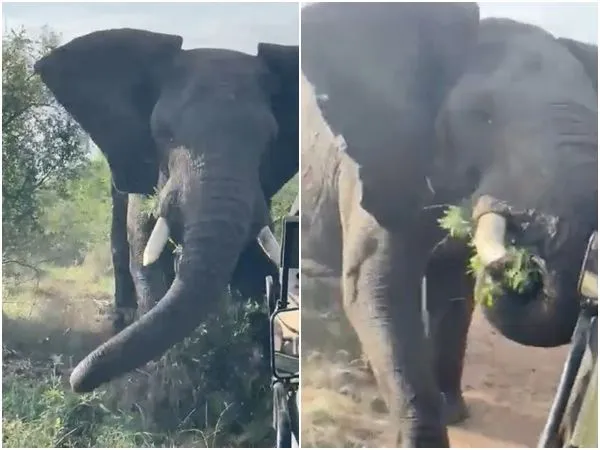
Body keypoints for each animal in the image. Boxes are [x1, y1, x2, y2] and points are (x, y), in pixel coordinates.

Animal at [34, 28, 298, 394]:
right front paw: (165, 374)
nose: (75, 380)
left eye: (269, 142)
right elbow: (147, 264)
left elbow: (255, 270)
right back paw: (122, 319)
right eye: (162, 134)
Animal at [302, 2, 596, 446]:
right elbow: (377, 288)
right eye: (481, 117)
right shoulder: (375, 166)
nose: (518, 261)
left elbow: (454, 293)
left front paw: (454, 413)